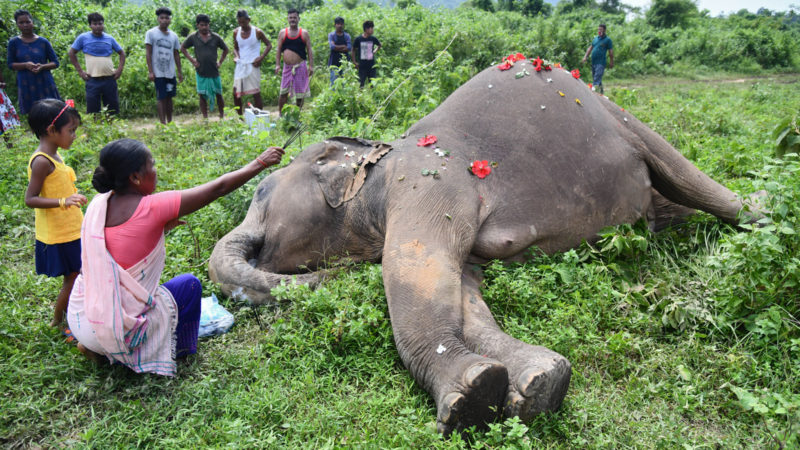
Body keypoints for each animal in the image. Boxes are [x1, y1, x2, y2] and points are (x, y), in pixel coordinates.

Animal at [208, 61, 756, 434]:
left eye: (260, 193)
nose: (329, 277)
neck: (383, 156)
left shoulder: (427, 186)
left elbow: (415, 274)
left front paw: (469, 400)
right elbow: (463, 292)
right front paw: (534, 384)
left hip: (623, 119)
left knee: (685, 172)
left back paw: (761, 213)